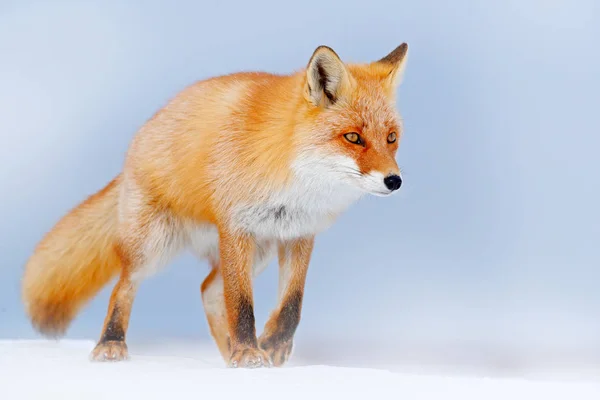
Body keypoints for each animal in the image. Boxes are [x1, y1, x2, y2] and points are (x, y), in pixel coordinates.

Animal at [21, 42, 410, 368]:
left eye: (391, 138)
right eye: (353, 137)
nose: (394, 181)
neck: (291, 177)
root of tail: (135, 148)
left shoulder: (299, 234)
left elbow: (291, 305)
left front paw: (271, 345)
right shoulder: (236, 227)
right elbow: (241, 303)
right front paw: (249, 353)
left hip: (259, 251)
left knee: (207, 291)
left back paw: (227, 353)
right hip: (154, 246)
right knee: (125, 284)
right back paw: (111, 343)